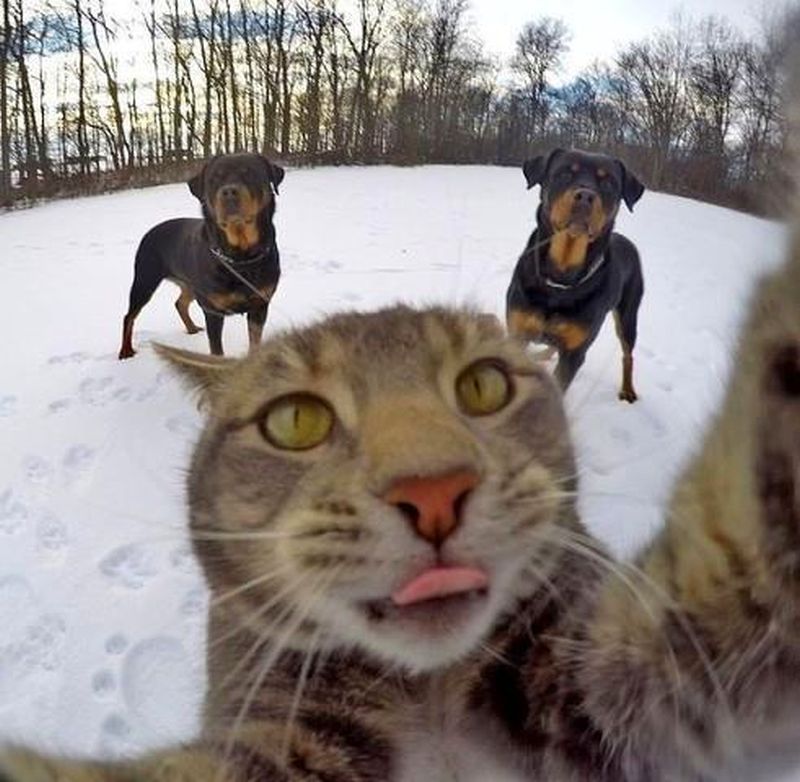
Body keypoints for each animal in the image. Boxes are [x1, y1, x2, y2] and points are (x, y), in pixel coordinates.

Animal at [118, 153, 285, 359]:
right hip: (145, 279)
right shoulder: (212, 310)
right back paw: (125, 350)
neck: (240, 256)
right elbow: (217, 350)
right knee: (129, 316)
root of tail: (151, 231)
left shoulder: (260, 305)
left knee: (180, 303)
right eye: (214, 179)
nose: (229, 192)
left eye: (250, 173)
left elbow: (255, 342)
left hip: (189, 283)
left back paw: (191, 329)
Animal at [505, 148, 645, 402]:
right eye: (564, 173)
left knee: (628, 353)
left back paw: (628, 390)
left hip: (629, 313)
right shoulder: (518, 330)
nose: (585, 196)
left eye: (608, 182)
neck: (560, 278)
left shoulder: (575, 353)